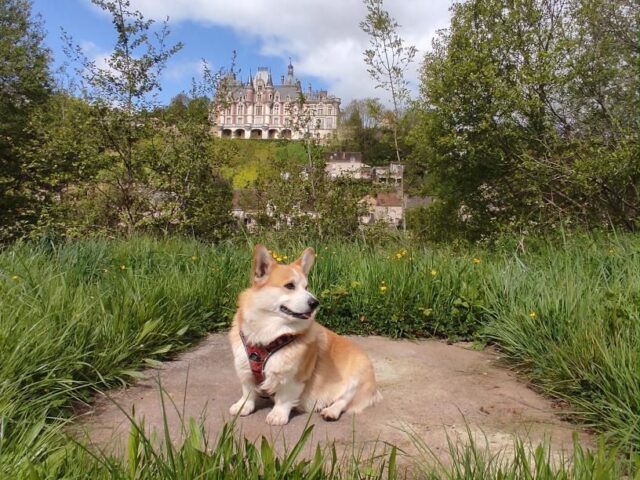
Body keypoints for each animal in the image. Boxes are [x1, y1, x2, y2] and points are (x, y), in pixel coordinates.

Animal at [229, 246, 380, 426]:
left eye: (307, 287)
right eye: (289, 286)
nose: (315, 303)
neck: (270, 333)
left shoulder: (295, 377)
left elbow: (284, 397)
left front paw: (278, 415)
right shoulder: (244, 368)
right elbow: (248, 391)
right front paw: (243, 406)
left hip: (357, 378)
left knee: (344, 400)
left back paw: (331, 411)